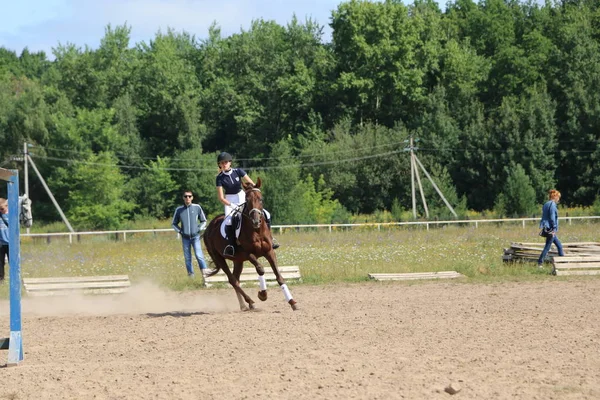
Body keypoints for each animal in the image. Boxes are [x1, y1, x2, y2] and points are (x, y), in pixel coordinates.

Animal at [203, 178, 298, 312]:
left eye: (261, 198)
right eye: (247, 200)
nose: (256, 221)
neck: (256, 231)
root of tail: (209, 227)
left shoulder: (269, 251)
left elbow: (279, 276)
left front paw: (292, 302)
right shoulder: (248, 253)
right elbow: (261, 269)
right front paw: (262, 294)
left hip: (238, 260)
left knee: (236, 279)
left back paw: (244, 305)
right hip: (219, 257)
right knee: (233, 280)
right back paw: (250, 302)